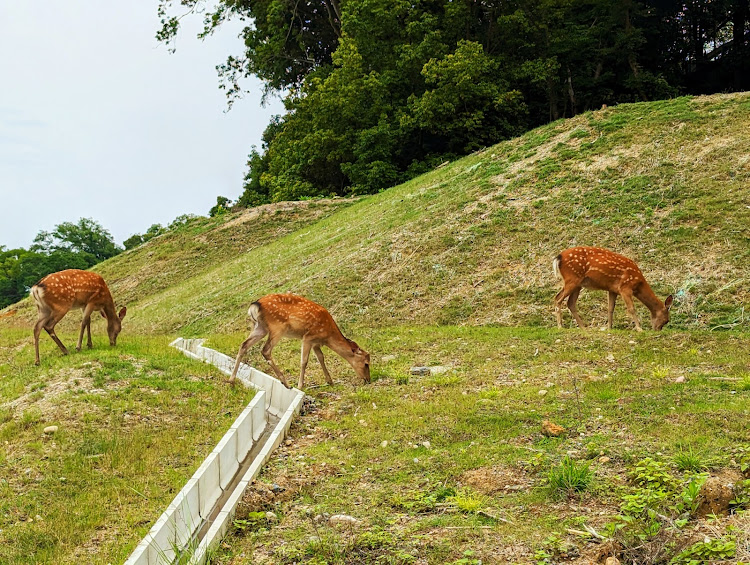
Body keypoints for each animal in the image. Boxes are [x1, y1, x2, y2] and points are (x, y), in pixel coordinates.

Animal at [228, 294, 372, 390]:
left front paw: (330, 381)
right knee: (265, 350)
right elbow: (304, 361)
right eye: (366, 363)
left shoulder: (315, 343)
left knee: (244, 345)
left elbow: (321, 358)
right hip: (277, 327)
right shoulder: (308, 337)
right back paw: (286, 383)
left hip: (259, 328)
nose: (368, 380)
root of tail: (254, 306)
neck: (328, 336)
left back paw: (231, 380)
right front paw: (300, 385)